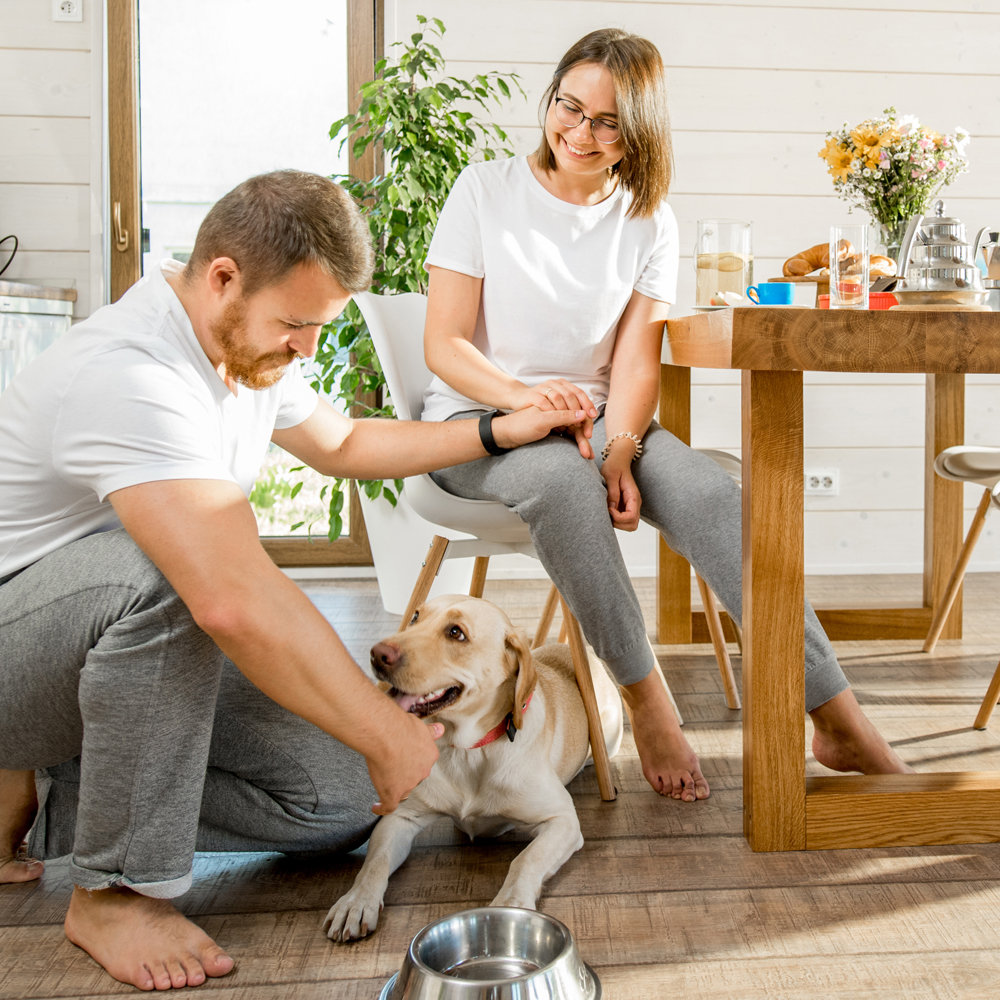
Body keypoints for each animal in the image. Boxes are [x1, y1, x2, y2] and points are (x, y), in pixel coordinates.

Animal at [324, 592, 620, 936]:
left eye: (456, 633)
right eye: (415, 617)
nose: (377, 654)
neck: (467, 750)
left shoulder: (563, 821)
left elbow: (526, 859)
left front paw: (512, 902)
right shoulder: (399, 818)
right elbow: (374, 862)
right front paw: (356, 901)